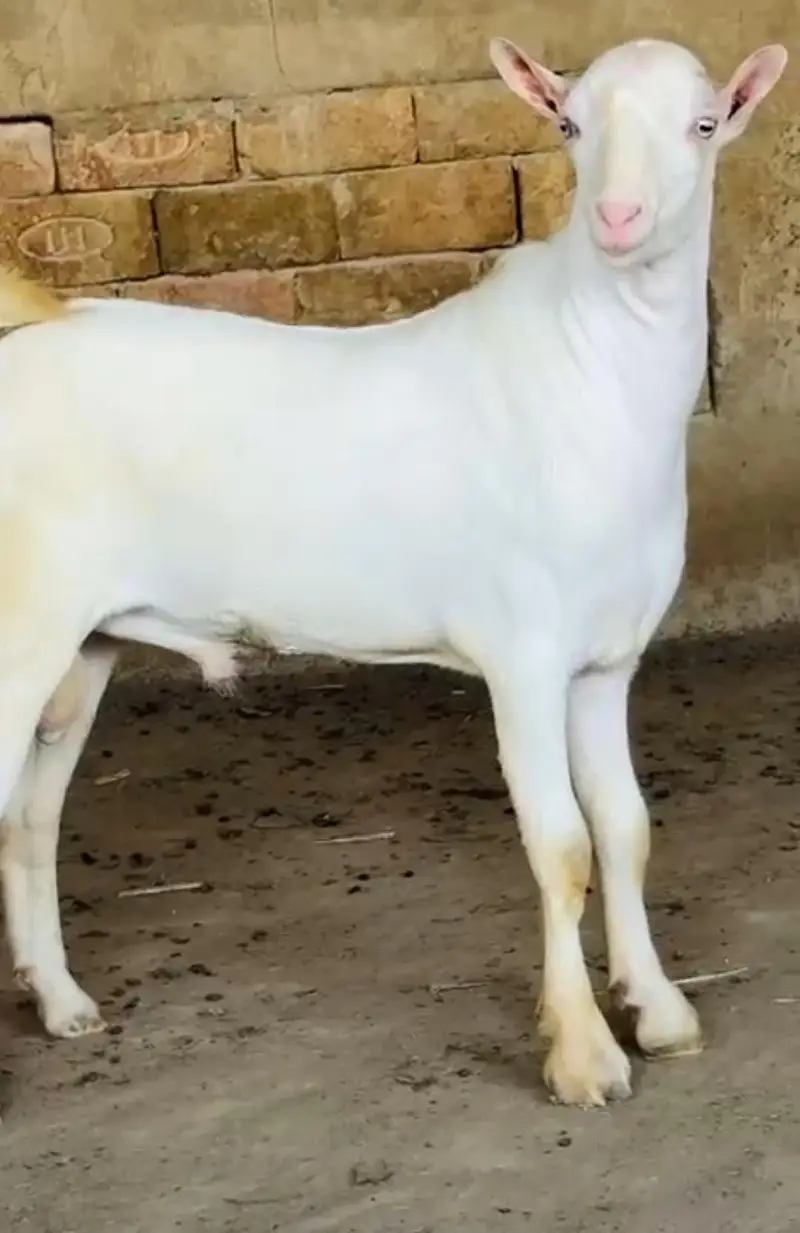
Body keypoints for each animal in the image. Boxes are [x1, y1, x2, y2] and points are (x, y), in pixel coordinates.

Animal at [0, 38, 785, 1106]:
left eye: (705, 125)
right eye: (569, 124)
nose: (619, 219)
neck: (592, 372)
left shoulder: (606, 660)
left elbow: (625, 828)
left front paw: (658, 1010)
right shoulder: (522, 652)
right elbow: (562, 845)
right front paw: (583, 1053)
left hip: (80, 641)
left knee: (30, 817)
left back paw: (63, 1001)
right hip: (18, 615)